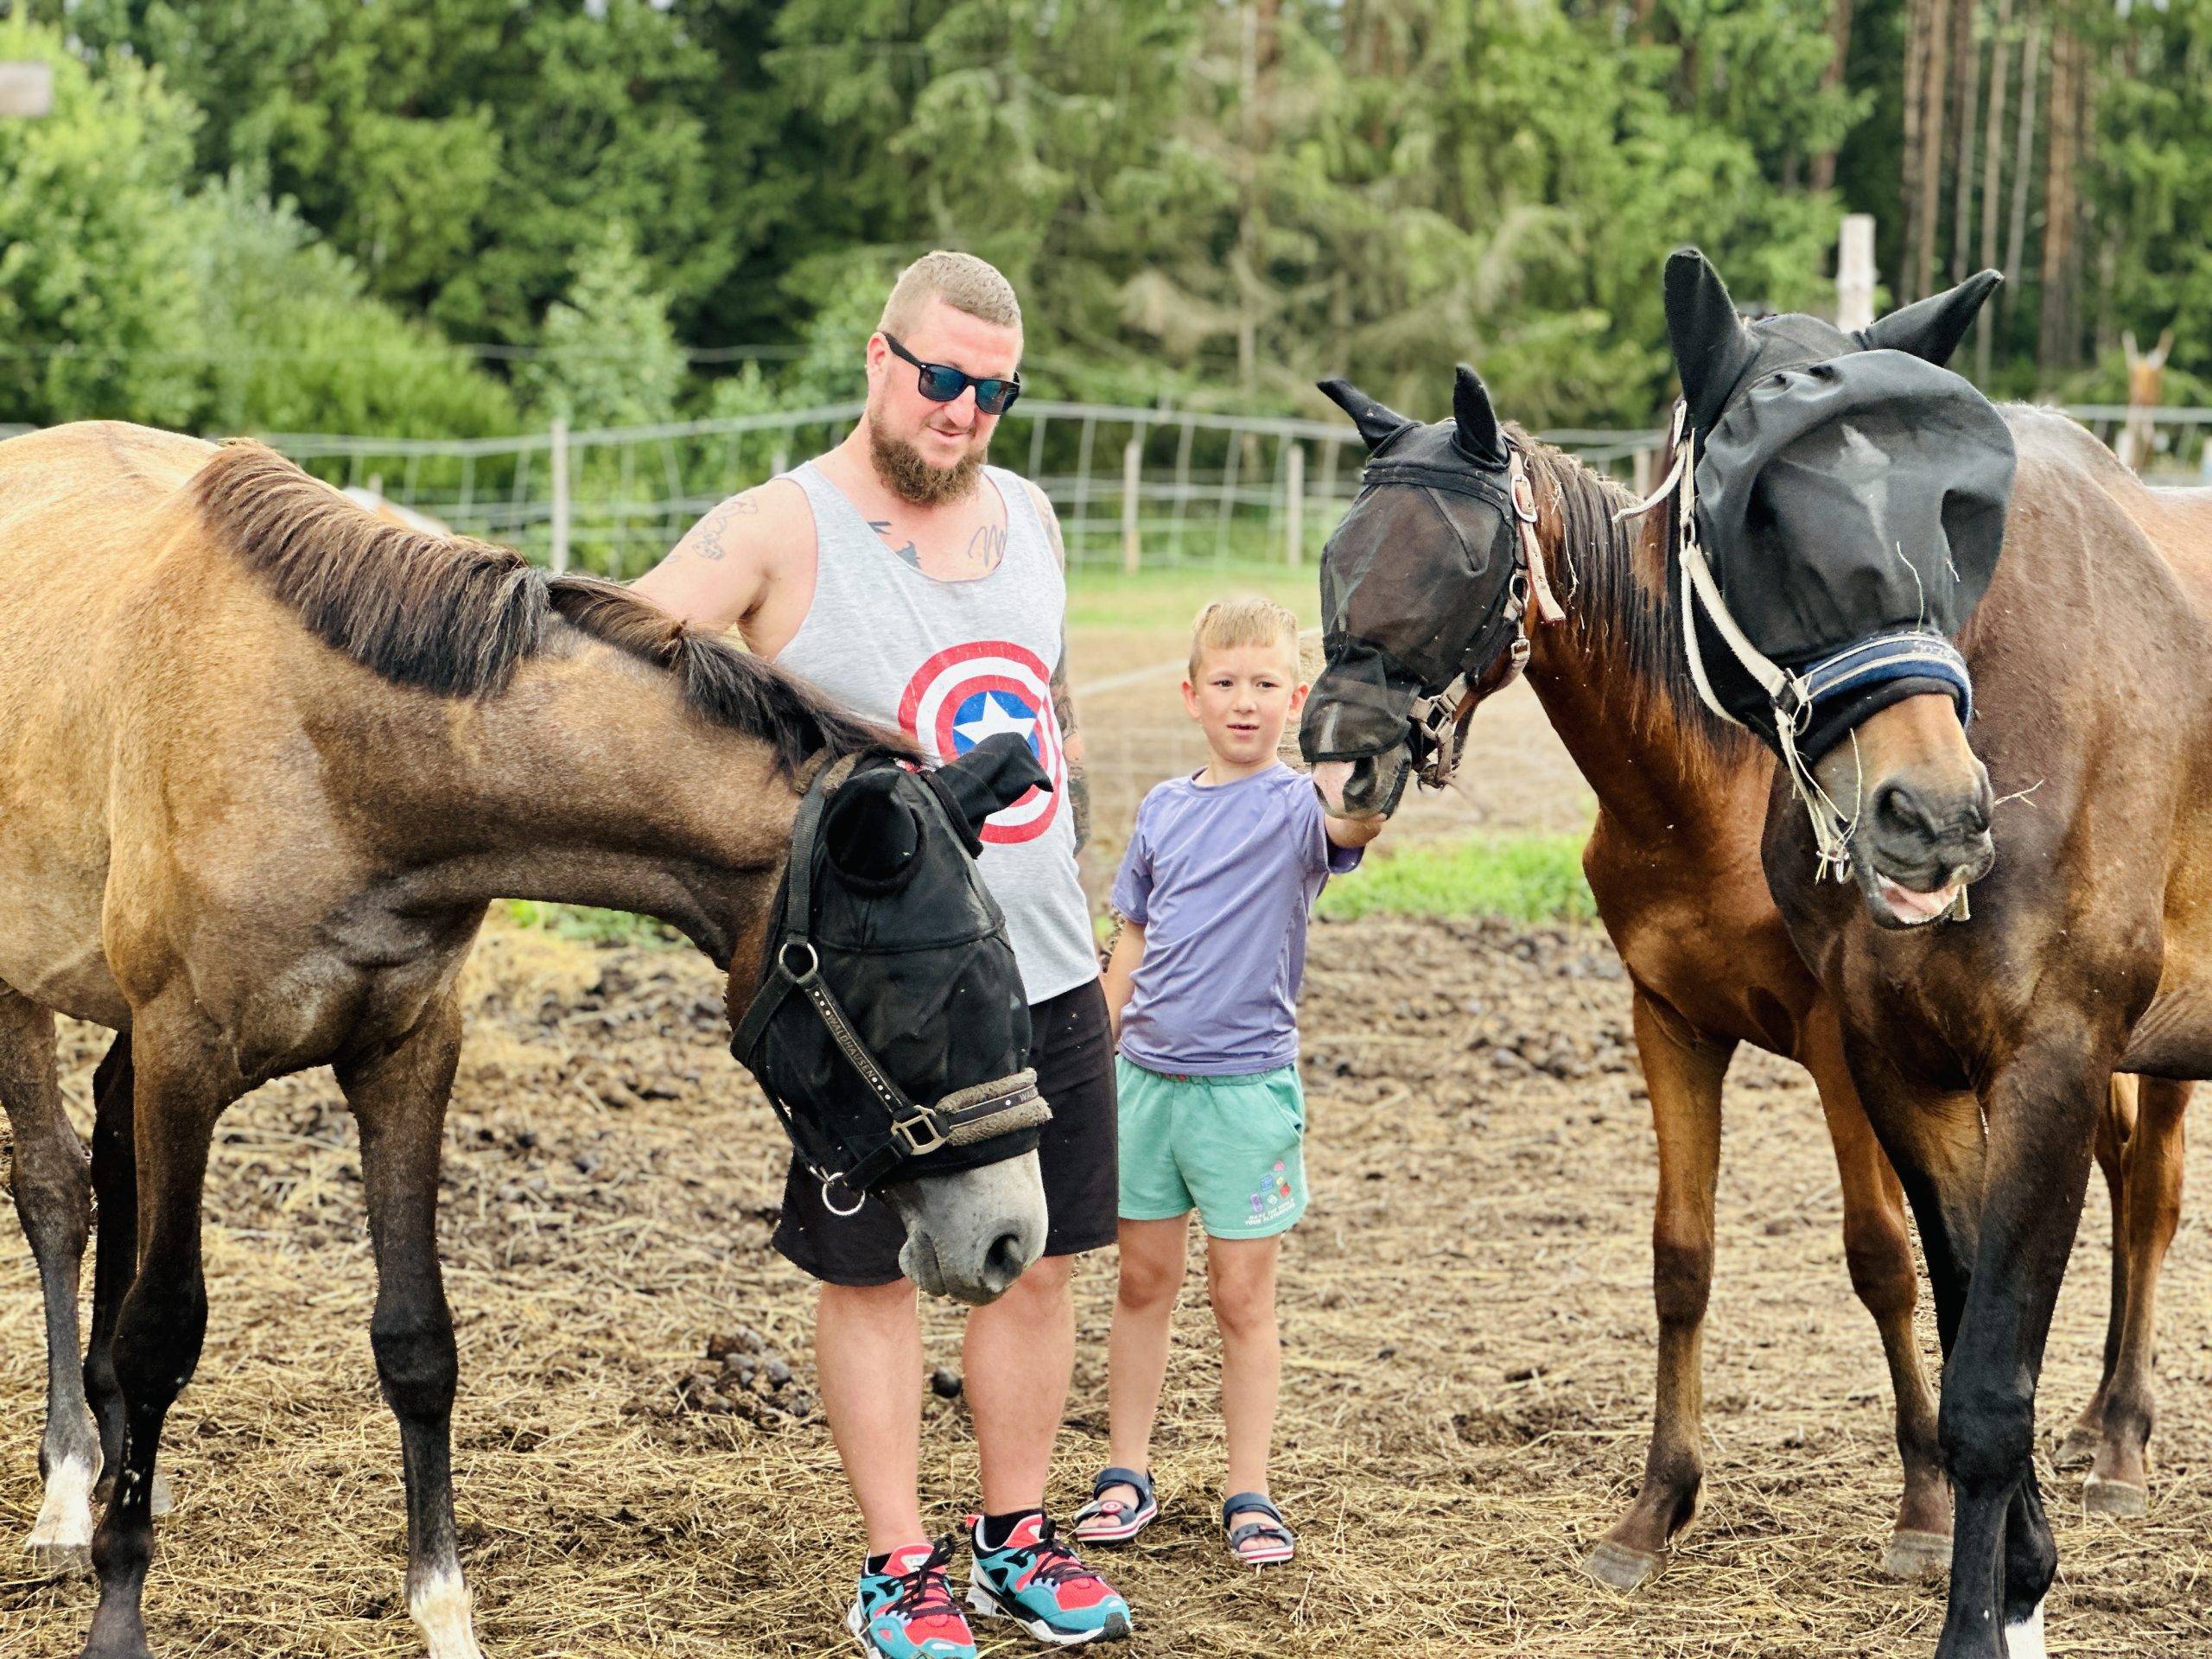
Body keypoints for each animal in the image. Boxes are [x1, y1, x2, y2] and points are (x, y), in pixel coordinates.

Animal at [0, 417, 1048, 1659]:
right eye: (907, 989)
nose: (1010, 1238)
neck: (335, 760)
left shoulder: (407, 1053)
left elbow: (416, 1341)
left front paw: (445, 1613)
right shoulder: (184, 1058)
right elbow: (164, 1327)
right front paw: (118, 1605)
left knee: (107, 1170)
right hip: (27, 996)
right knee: (56, 1193)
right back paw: (73, 1489)